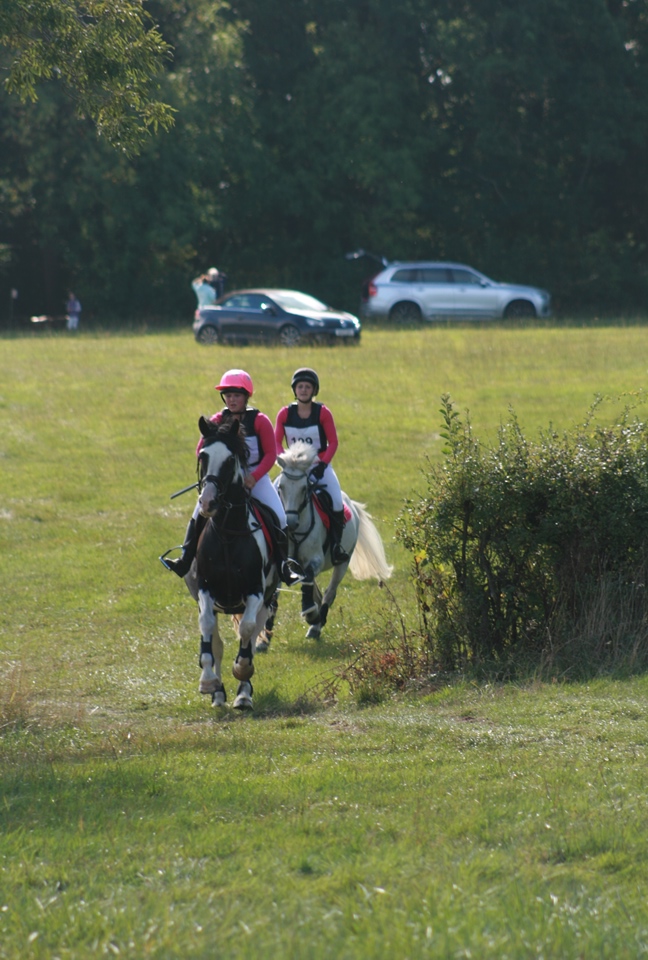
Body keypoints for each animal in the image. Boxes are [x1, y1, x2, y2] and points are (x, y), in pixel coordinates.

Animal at [183, 415, 280, 710]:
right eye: (202, 456)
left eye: (229, 460)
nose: (208, 502)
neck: (227, 533)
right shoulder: (205, 589)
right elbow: (207, 632)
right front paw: (208, 683)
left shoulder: (255, 591)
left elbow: (247, 633)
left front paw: (242, 672)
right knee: (217, 642)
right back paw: (218, 695)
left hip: (265, 601)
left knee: (251, 633)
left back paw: (243, 695)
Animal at [267, 441, 393, 642]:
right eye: (281, 488)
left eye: (304, 489)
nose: (291, 523)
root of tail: (352, 505)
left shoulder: (315, 560)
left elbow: (309, 579)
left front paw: (311, 615)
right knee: (317, 593)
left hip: (343, 562)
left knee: (329, 593)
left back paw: (316, 624)